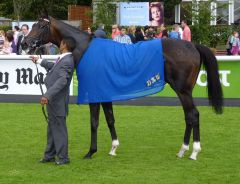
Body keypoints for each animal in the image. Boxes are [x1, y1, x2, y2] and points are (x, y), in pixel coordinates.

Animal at [22, 14, 223, 161]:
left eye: (41, 26)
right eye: (33, 25)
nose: (24, 43)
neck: (87, 50)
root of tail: (192, 45)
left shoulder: (94, 93)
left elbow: (94, 122)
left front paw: (90, 151)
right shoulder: (104, 93)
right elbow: (110, 119)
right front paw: (113, 148)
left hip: (182, 90)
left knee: (193, 115)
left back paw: (193, 151)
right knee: (188, 116)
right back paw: (183, 150)